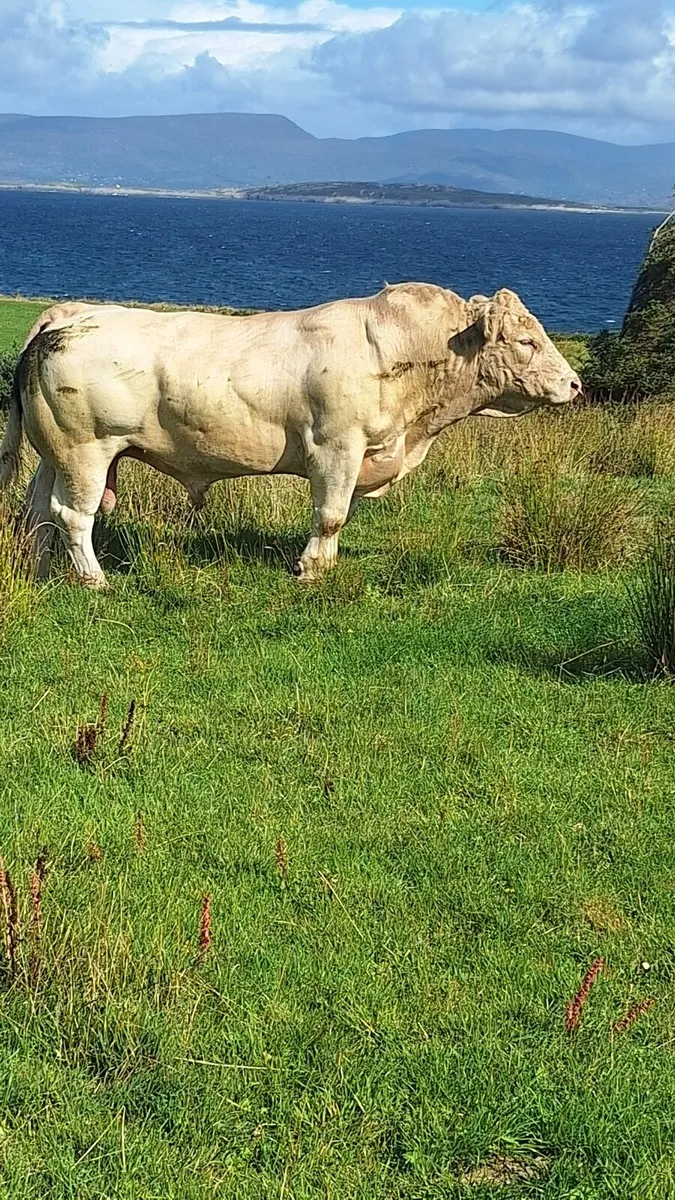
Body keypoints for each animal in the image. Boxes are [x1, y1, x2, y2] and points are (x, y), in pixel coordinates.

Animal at [0, 283, 581, 587]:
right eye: (527, 341)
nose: (575, 383)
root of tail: (68, 313)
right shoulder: (336, 446)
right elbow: (331, 514)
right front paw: (310, 569)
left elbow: (338, 516)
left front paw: (324, 563)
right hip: (85, 450)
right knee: (73, 515)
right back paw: (93, 579)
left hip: (56, 453)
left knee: (37, 509)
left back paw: (39, 566)